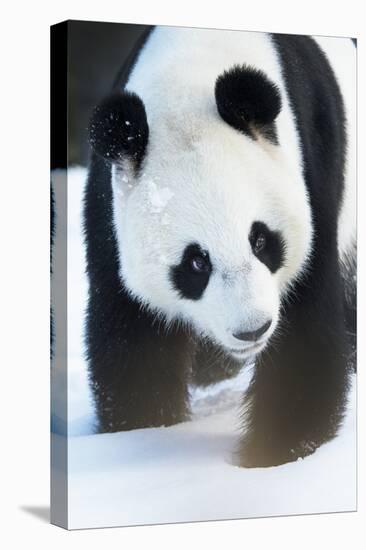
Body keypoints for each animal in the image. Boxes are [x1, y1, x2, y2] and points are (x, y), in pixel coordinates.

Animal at [84, 28, 356, 470]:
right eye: (196, 262)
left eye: (261, 240)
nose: (253, 330)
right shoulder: (111, 205)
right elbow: (133, 335)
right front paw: (142, 434)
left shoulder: (309, 173)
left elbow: (305, 332)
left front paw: (272, 455)